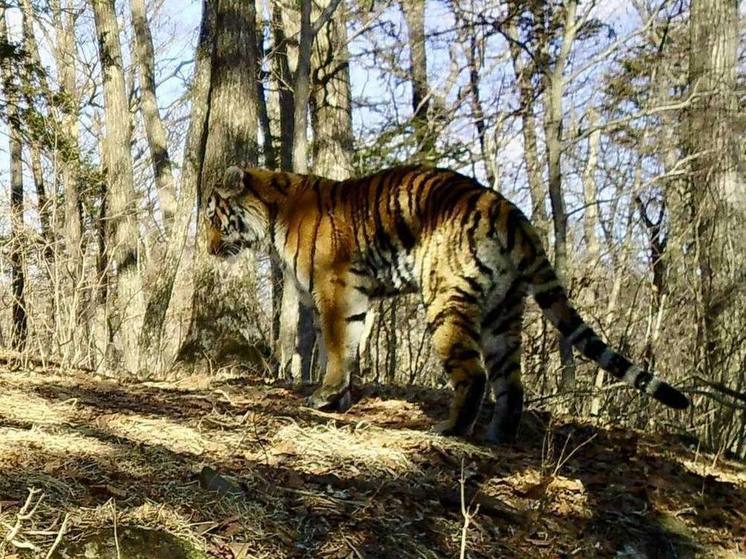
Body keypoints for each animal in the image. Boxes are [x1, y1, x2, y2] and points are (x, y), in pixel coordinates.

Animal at [202, 164, 684, 444]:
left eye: (212, 217)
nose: (208, 248)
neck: (273, 214)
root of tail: (511, 212)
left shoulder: (334, 289)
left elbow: (336, 347)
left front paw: (323, 396)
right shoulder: (354, 297)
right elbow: (350, 345)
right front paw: (340, 399)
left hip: (445, 301)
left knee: (474, 375)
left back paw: (451, 429)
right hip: (503, 313)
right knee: (511, 384)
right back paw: (497, 436)